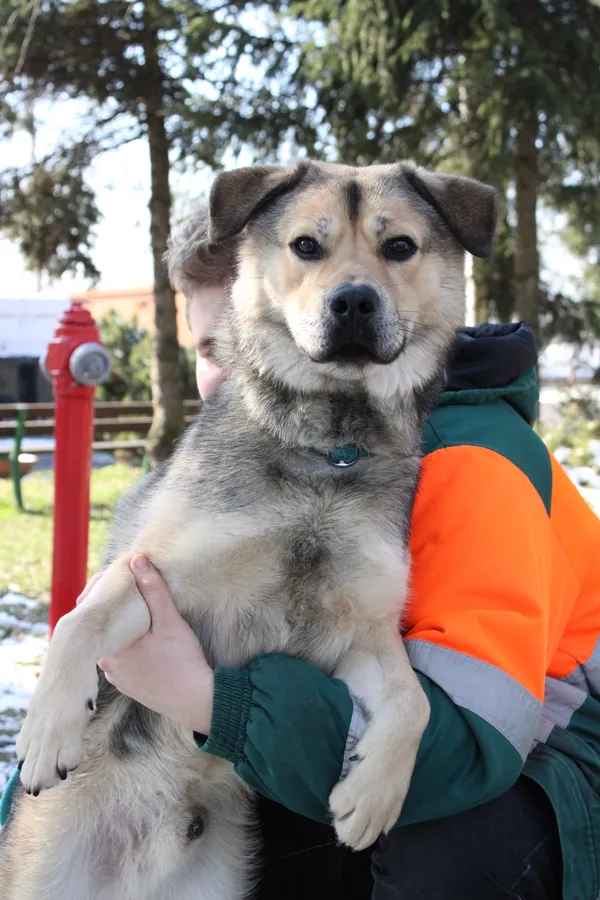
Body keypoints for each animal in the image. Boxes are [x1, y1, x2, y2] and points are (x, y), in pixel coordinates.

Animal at [0, 158, 496, 896]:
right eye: (306, 246)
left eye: (399, 246)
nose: (354, 302)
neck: (328, 452)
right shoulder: (155, 573)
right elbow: (80, 621)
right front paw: (45, 732)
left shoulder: (360, 635)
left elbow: (417, 705)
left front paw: (372, 798)